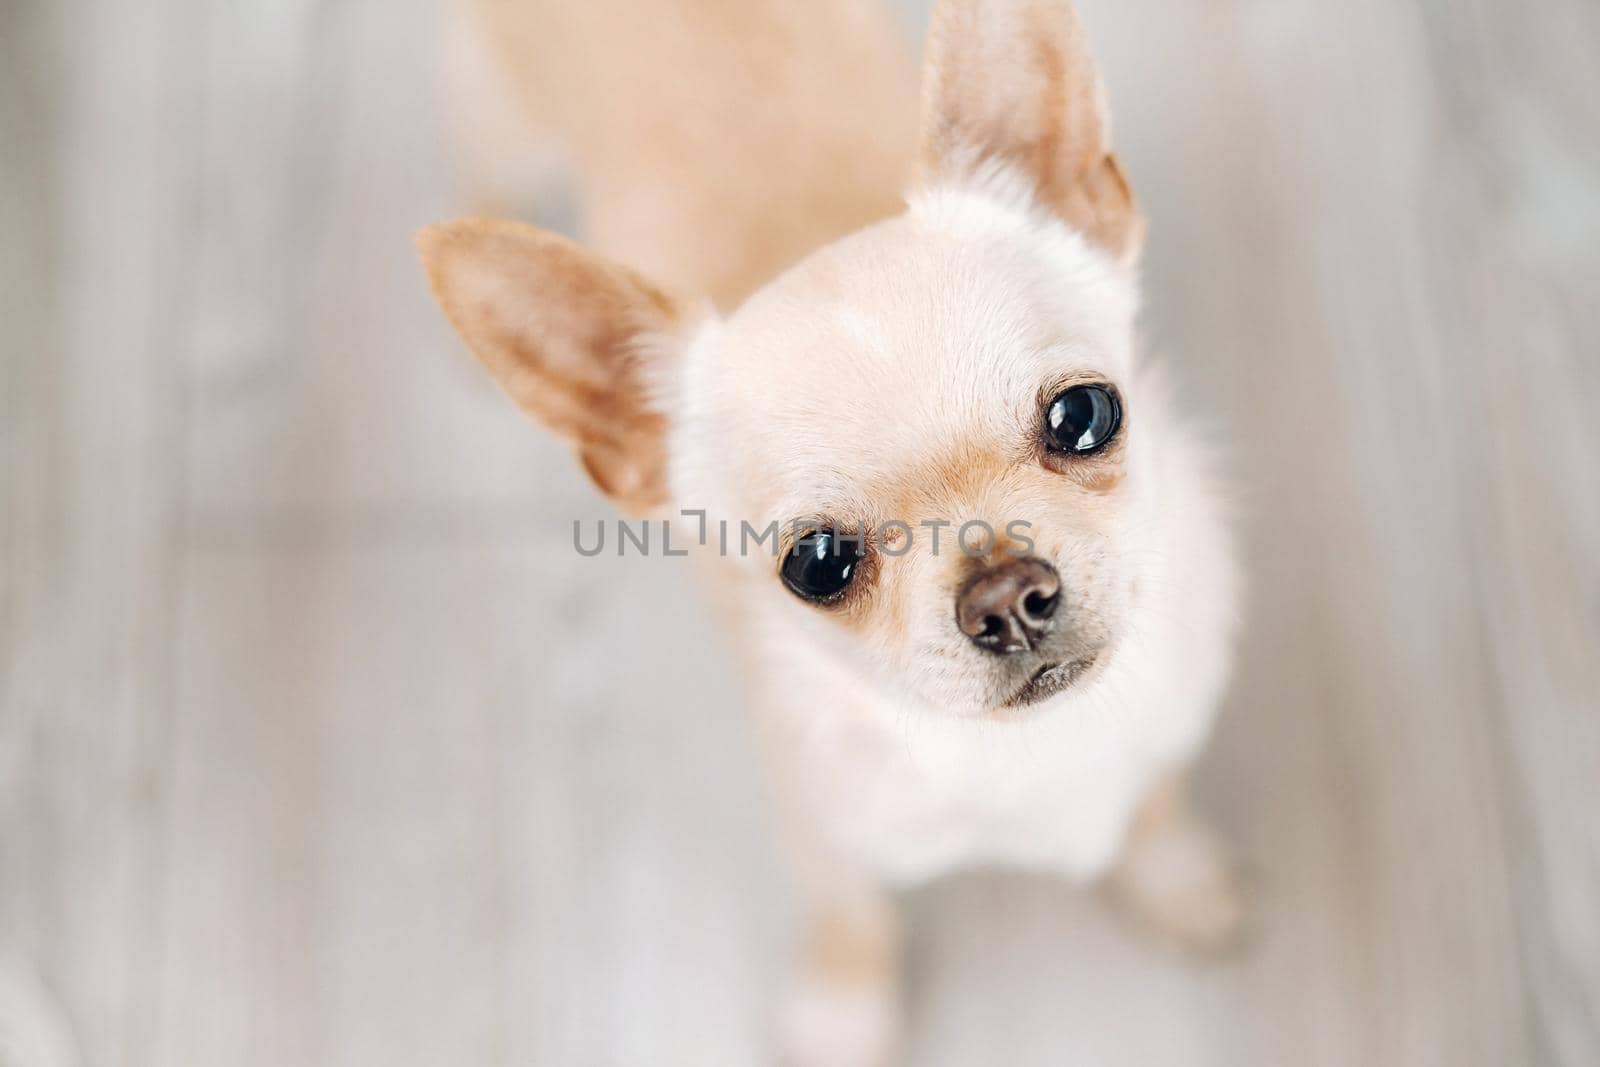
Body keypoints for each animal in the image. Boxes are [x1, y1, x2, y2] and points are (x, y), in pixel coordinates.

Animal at [422, 2, 1235, 1062]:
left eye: (1084, 416)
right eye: (817, 565)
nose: (1006, 594)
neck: (1028, 753)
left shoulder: (1174, 720)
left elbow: (1158, 798)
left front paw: (1176, 876)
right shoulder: (821, 825)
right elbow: (853, 917)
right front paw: (847, 1014)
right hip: (498, 119)